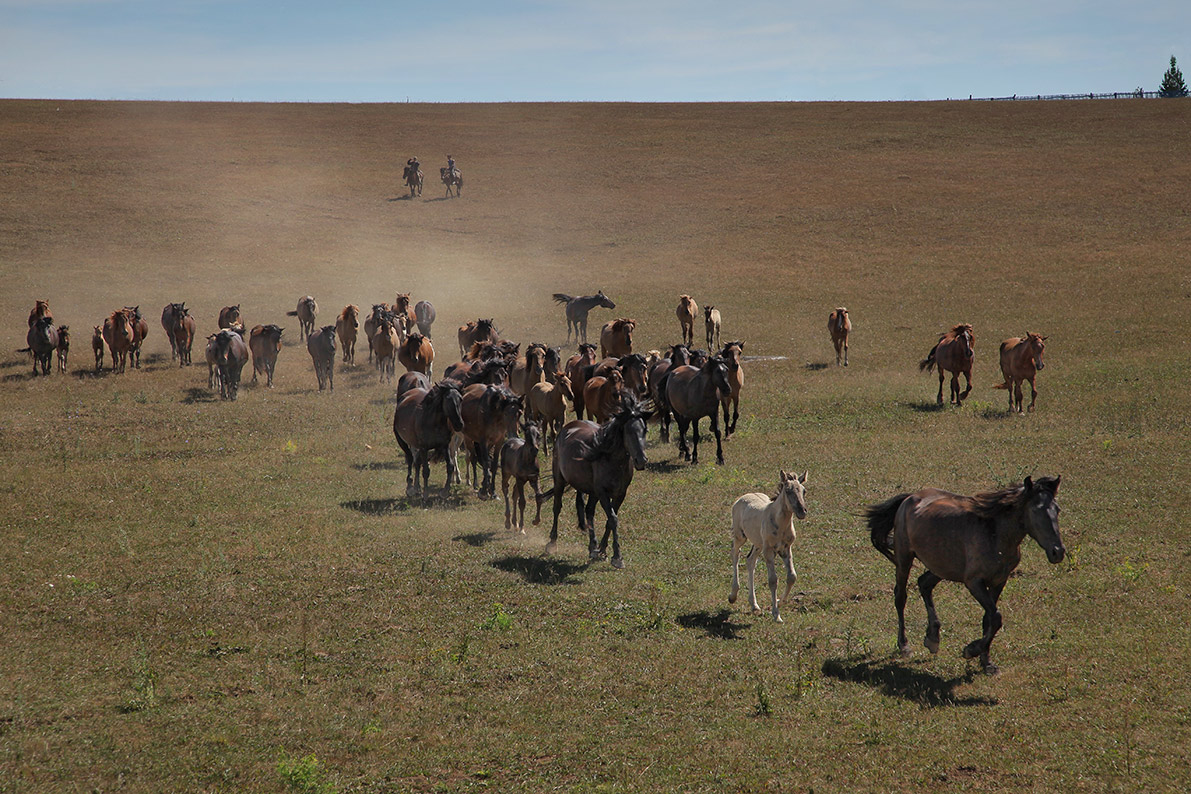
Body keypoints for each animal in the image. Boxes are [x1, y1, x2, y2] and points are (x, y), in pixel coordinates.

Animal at [545, 399, 657, 569]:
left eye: (645, 430)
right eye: (628, 431)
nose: (641, 461)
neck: (612, 460)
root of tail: (567, 428)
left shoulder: (620, 494)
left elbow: (610, 520)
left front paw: (602, 550)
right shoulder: (602, 492)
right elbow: (613, 519)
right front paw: (617, 557)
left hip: (592, 492)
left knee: (589, 511)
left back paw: (592, 547)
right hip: (560, 480)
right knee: (557, 507)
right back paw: (552, 543)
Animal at [862, 476, 1067, 676]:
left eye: (1057, 509)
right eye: (1035, 509)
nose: (1057, 552)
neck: (995, 535)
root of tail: (910, 497)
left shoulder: (999, 581)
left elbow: (989, 619)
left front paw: (987, 663)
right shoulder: (974, 582)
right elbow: (996, 617)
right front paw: (971, 650)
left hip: (942, 566)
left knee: (924, 584)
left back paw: (933, 639)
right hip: (905, 559)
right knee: (901, 596)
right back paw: (904, 646)